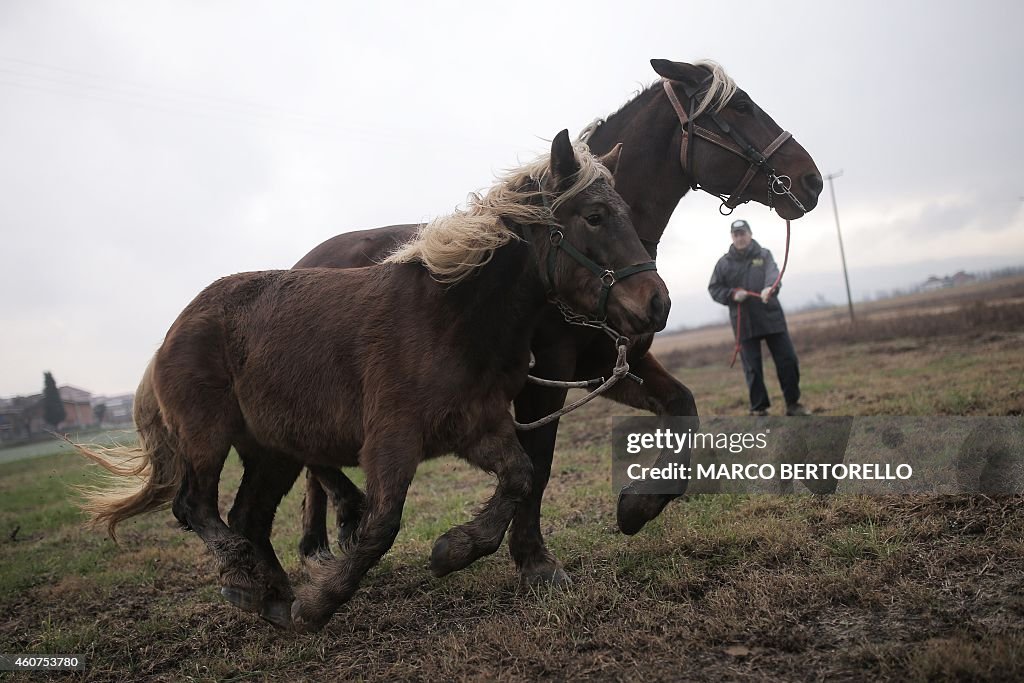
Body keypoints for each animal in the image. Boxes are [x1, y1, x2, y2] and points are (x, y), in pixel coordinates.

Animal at [81, 131, 671, 634]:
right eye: (595, 216)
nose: (658, 304)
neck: (451, 316)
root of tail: (174, 331)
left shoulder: (477, 426)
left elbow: (520, 478)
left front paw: (453, 550)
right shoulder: (392, 439)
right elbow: (382, 524)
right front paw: (322, 601)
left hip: (273, 452)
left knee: (248, 515)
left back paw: (272, 596)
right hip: (208, 437)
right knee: (195, 507)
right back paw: (246, 577)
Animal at [290, 58, 823, 581]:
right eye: (741, 107)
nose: (811, 180)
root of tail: (303, 261)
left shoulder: (609, 365)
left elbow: (683, 407)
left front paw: (638, 506)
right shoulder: (545, 373)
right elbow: (538, 463)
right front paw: (525, 557)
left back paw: (321, 544)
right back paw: (341, 522)